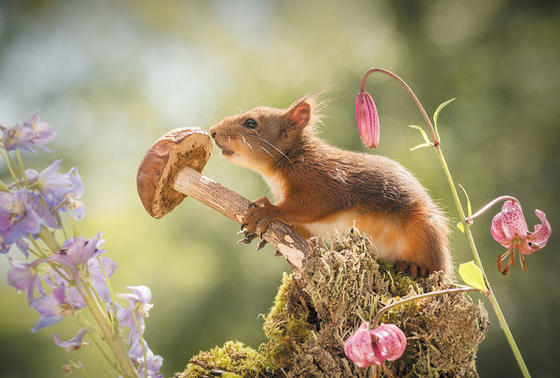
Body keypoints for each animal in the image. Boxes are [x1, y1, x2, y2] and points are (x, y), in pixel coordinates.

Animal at [209, 93, 450, 276]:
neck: (288, 160)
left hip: (425, 230)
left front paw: (267, 210)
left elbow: (311, 206)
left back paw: (414, 266)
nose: (212, 131)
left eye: (251, 123)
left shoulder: (324, 180)